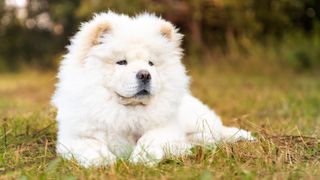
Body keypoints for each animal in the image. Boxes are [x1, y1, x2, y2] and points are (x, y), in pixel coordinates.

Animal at [51, 11, 254, 167]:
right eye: (122, 62)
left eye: (151, 63)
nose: (144, 74)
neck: (129, 110)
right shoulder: (73, 137)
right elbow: (91, 145)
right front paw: (103, 161)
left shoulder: (167, 128)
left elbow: (149, 138)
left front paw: (141, 158)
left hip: (197, 120)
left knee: (217, 131)